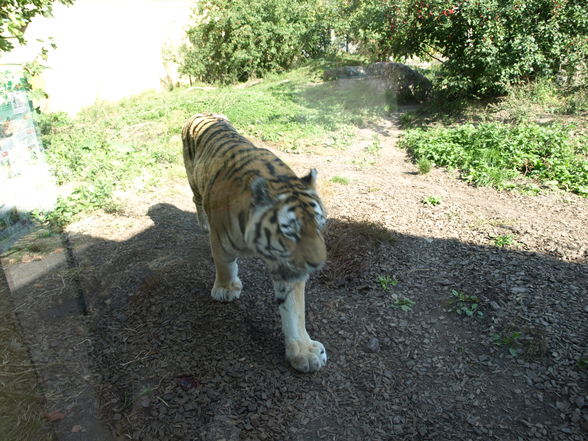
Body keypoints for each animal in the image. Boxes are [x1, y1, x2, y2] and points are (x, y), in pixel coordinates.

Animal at [181, 112, 328, 372]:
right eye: (291, 232)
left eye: (319, 225)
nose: (317, 264)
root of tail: (201, 113)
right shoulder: (221, 242)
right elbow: (224, 265)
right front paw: (226, 290)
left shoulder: (288, 269)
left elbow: (294, 310)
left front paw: (304, 352)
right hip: (193, 180)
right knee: (195, 200)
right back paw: (204, 223)